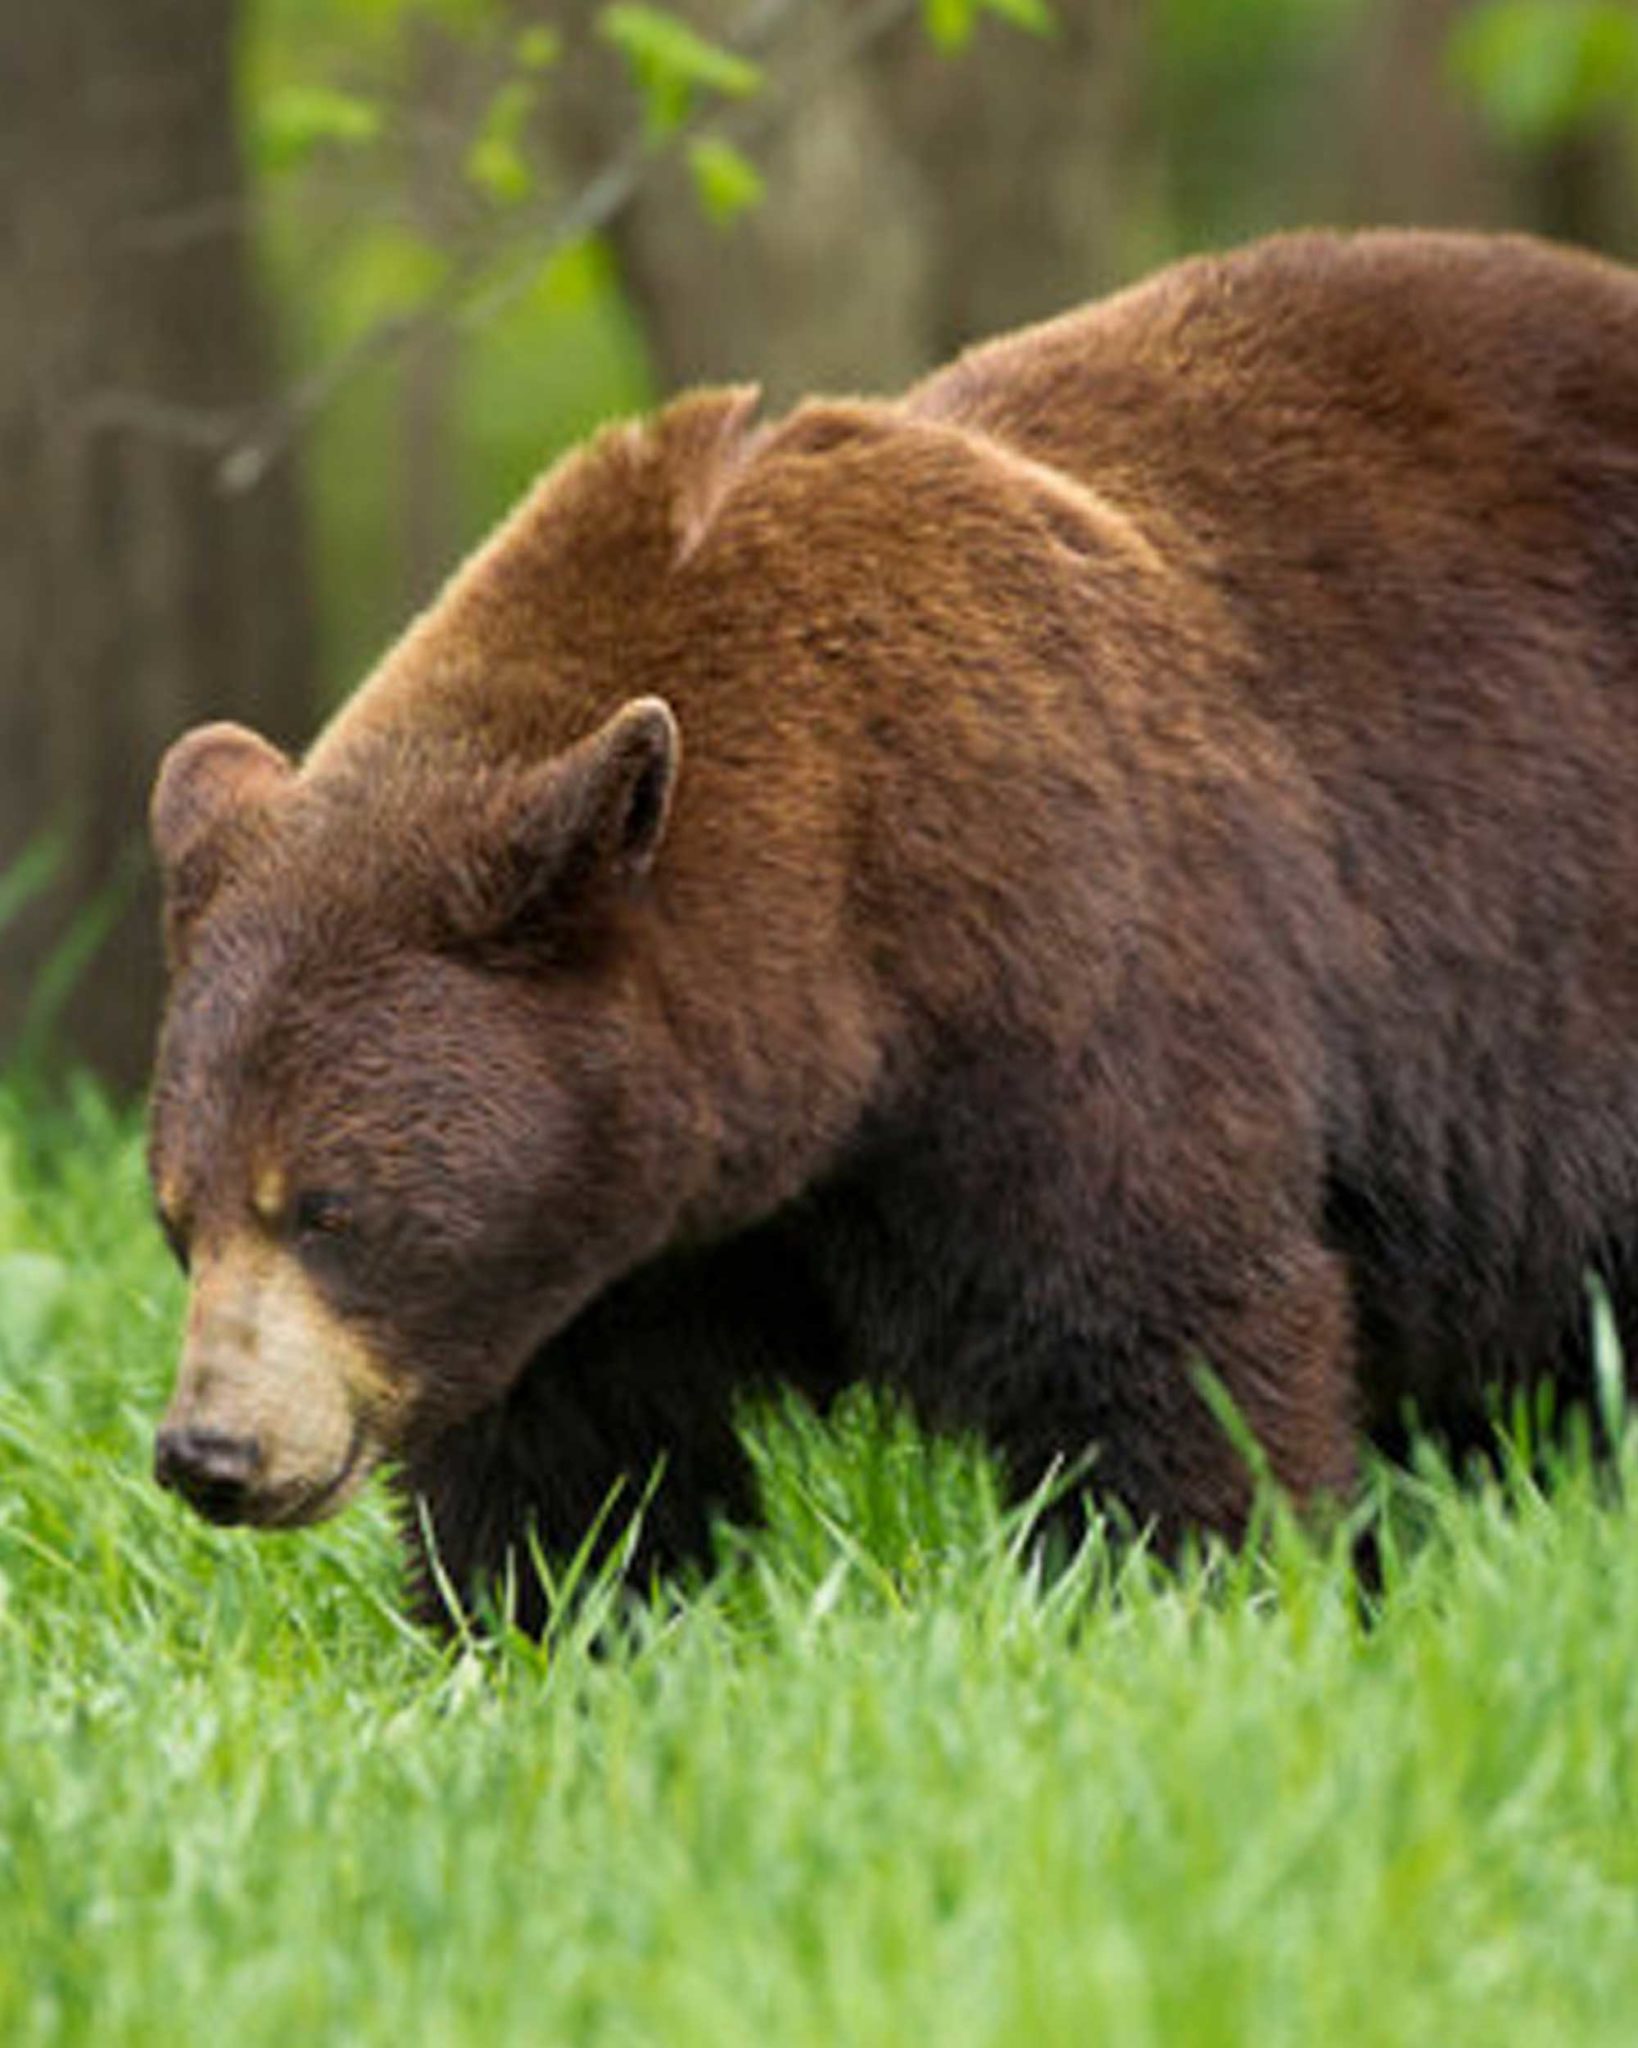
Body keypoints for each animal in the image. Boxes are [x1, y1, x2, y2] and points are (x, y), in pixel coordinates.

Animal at [147, 228, 1637, 1630]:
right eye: (179, 1213)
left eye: (330, 1205)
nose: (210, 1453)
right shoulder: (615, 1233)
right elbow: (565, 1459)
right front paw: (548, 1623)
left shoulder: (1075, 988)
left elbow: (1162, 1330)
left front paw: (1193, 1593)